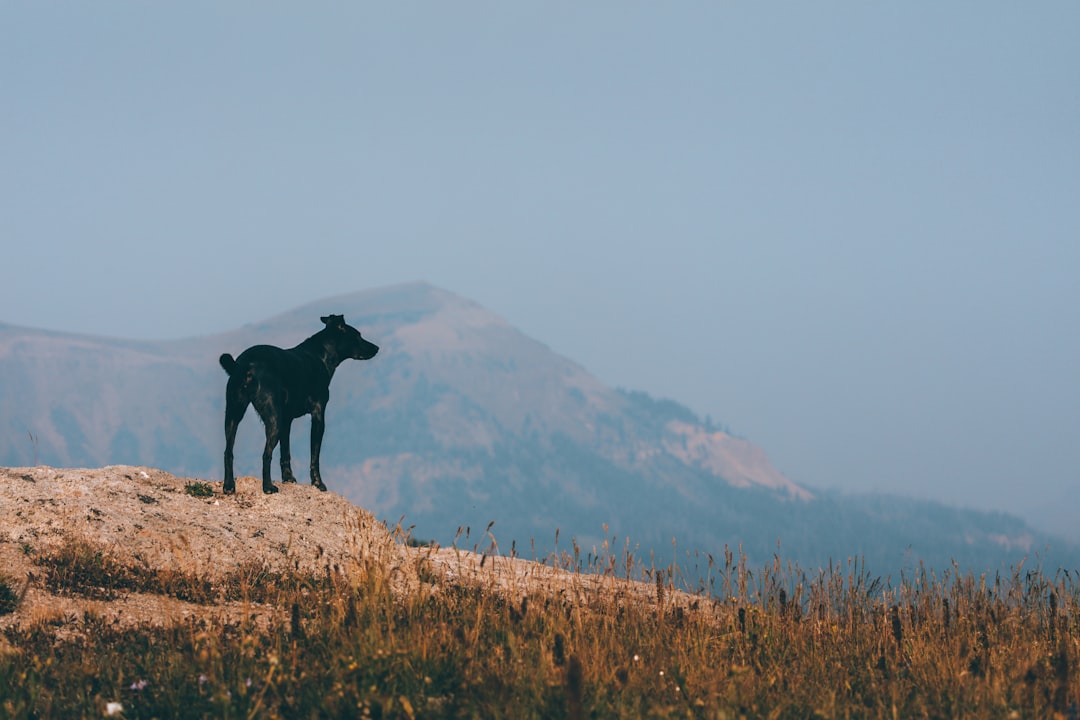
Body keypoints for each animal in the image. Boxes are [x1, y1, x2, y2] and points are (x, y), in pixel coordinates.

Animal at [219, 315, 380, 496]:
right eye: (357, 335)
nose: (376, 348)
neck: (320, 355)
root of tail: (244, 365)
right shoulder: (318, 415)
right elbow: (314, 456)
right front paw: (318, 483)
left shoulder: (287, 420)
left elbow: (285, 452)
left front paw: (288, 478)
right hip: (272, 419)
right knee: (266, 454)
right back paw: (268, 487)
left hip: (233, 414)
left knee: (228, 452)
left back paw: (229, 486)